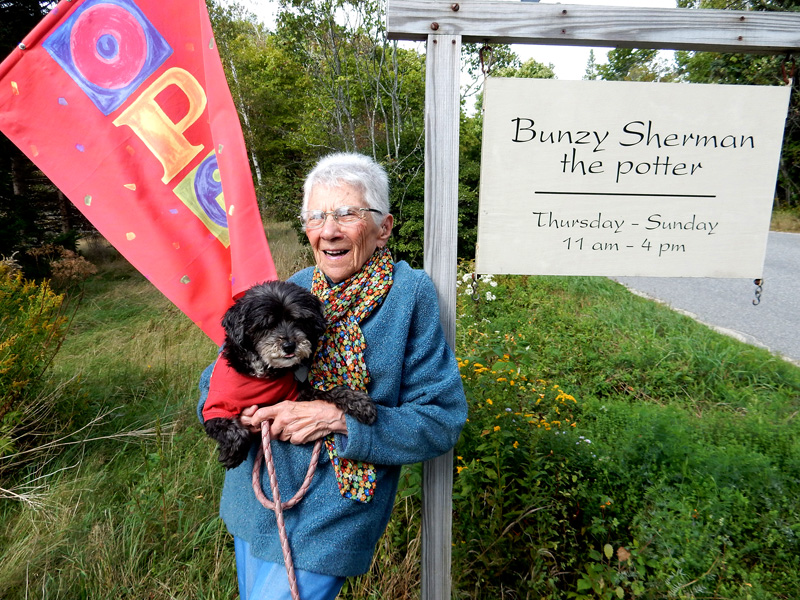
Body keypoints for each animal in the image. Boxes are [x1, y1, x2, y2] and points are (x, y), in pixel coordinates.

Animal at [200, 282, 376, 468]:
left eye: (298, 321)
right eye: (266, 325)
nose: (289, 346)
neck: (263, 372)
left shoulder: (294, 398)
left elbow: (327, 391)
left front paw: (359, 402)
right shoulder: (215, 407)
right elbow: (229, 427)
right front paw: (233, 452)